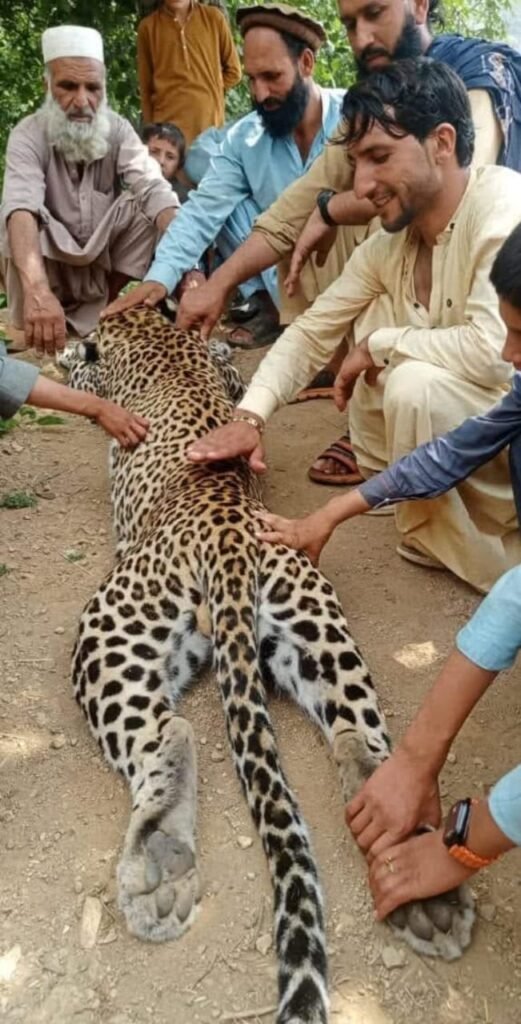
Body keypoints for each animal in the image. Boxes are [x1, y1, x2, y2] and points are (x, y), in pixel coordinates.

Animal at [66, 306, 475, 1024]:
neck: (150, 328)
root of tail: (229, 533)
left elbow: (85, 369)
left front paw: (62, 355)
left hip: (107, 630)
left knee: (168, 732)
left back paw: (157, 864)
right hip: (311, 629)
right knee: (356, 734)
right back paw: (423, 887)